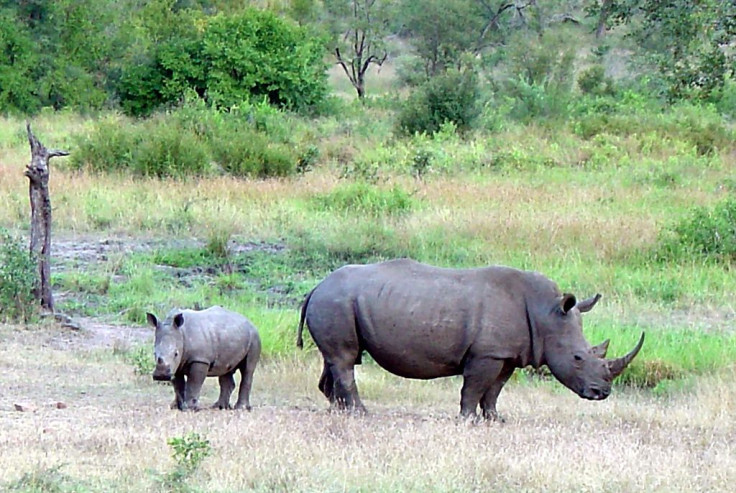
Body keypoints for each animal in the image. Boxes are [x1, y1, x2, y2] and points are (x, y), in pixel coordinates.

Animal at [298, 258, 644, 418]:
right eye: (578, 357)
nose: (602, 393)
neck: (546, 314)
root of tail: (316, 286)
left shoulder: (506, 354)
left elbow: (494, 390)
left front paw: (495, 419)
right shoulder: (486, 354)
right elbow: (474, 388)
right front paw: (467, 420)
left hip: (338, 302)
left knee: (336, 358)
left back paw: (338, 411)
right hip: (336, 301)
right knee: (345, 360)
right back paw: (360, 413)